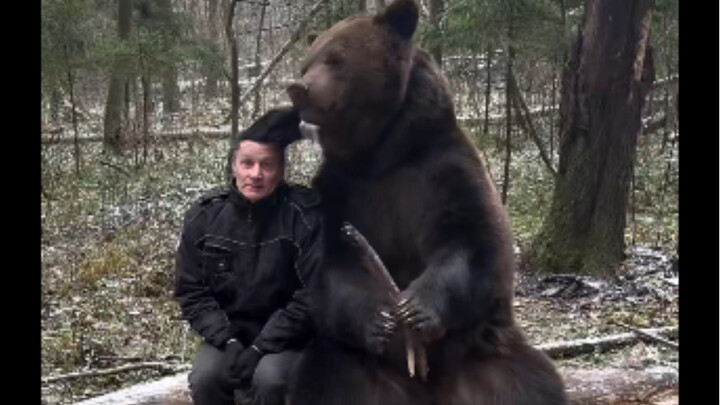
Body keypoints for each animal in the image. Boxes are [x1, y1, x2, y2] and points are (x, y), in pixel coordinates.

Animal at [285, 1, 567, 404]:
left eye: (336, 59)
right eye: (306, 63)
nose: (299, 88)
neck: (380, 154)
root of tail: (429, 389)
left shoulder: (443, 169)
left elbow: (474, 240)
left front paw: (416, 309)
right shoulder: (340, 190)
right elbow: (334, 265)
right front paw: (381, 319)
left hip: (486, 354)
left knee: (532, 383)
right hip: (356, 366)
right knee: (325, 380)